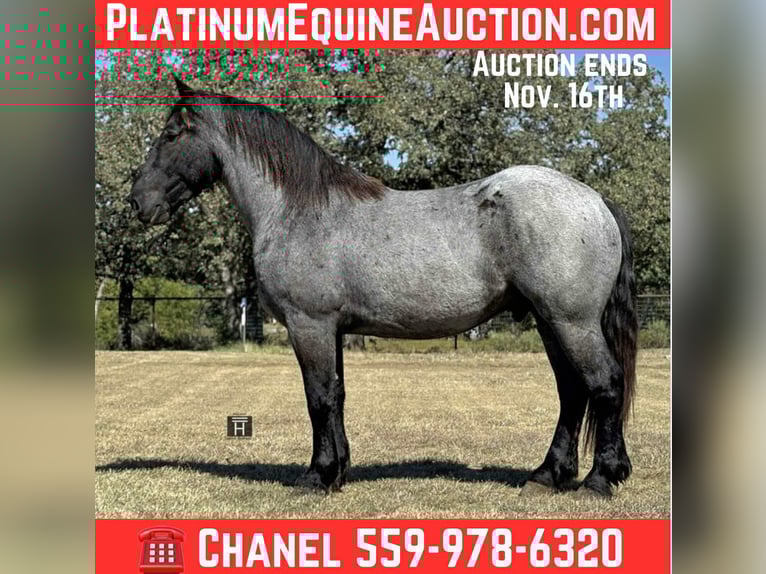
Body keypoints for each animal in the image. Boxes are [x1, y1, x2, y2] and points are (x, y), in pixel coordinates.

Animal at [128, 76, 637, 497]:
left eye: (171, 133)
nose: (138, 202)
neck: (298, 209)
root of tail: (595, 199)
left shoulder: (308, 325)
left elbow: (318, 398)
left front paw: (316, 476)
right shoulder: (331, 329)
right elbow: (336, 396)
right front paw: (338, 472)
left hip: (572, 321)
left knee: (605, 384)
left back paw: (598, 480)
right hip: (550, 321)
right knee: (572, 391)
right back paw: (547, 476)